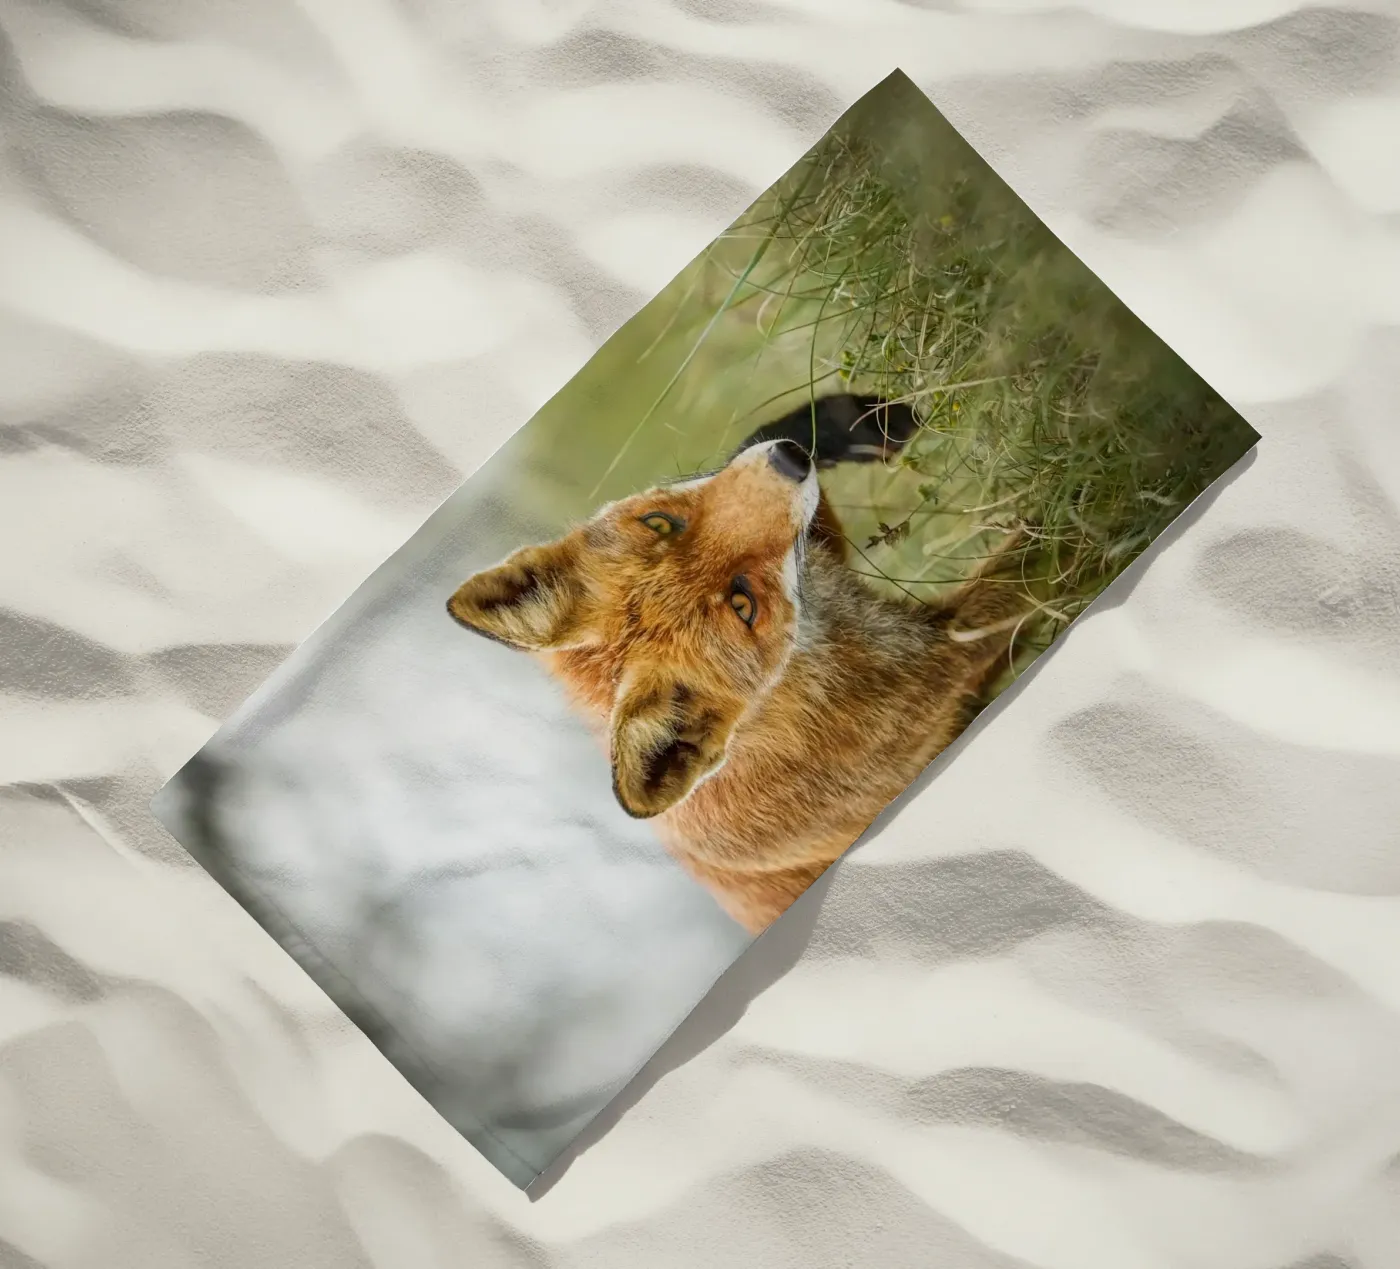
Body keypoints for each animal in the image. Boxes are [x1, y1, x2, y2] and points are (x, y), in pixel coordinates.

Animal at [447, 395, 1030, 933]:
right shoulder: (947, 657)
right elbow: (1031, 563)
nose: (791, 460)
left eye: (661, 522)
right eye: (743, 603)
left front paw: (853, 421)